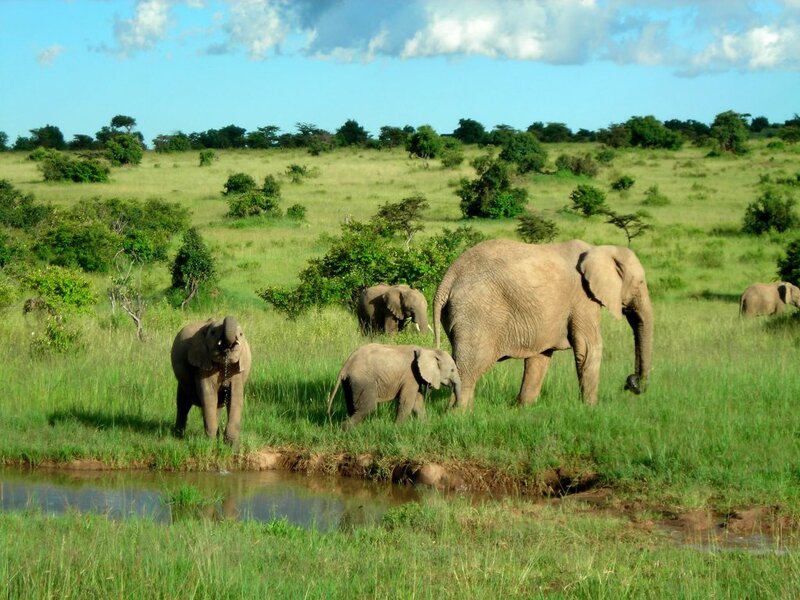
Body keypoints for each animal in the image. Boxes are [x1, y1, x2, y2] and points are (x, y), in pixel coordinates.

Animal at [170, 316, 252, 448]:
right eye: (213, 333)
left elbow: (236, 396)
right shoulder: (202, 362)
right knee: (183, 404)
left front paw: (232, 446)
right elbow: (208, 395)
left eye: (241, 334)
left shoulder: (237, 367)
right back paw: (178, 436)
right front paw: (210, 444)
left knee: (217, 406)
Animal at [326, 342, 462, 432]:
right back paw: (343, 430)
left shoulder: (415, 377)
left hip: (350, 382)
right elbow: (407, 401)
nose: (450, 410)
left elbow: (418, 401)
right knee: (368, 407)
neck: (427, 350)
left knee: (352, 406)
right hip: (363, 380)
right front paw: (397, 428)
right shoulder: (410, 375)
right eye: (452, 370)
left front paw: (426, 425)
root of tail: (346, 365)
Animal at [434, 239, 652, 408]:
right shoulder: (583, 300)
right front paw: (591, 409)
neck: (598, 249)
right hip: (478, 312)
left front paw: (523, 408)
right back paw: (458, 413)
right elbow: (589, 347)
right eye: (641, 283)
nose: (631, 383)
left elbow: (540, 356)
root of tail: (450, 276)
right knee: (470, 366)